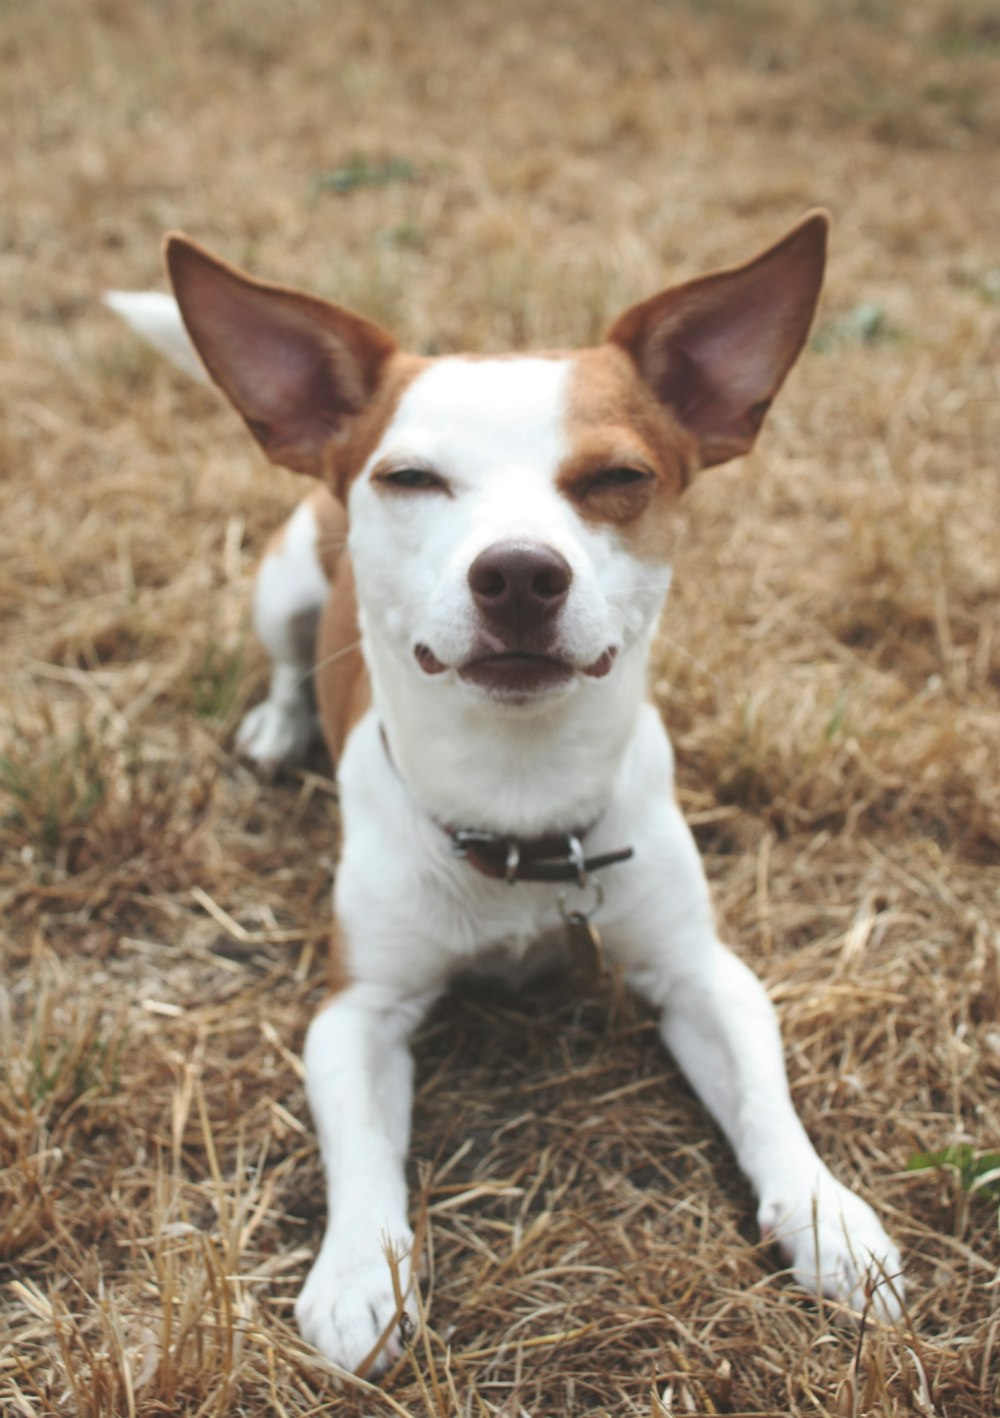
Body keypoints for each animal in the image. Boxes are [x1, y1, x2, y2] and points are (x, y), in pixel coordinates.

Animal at [104, 215, 902, 1378]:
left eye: (617, 475)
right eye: (409, 478)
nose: (520, 571)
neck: (524, 815)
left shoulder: (702, 974)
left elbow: (766, 1100)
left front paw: (827, 1215)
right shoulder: (355, 1012)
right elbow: (361, 1150)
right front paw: (358, 1273)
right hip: (282, 582)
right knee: (289, 662)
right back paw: (279, 726)